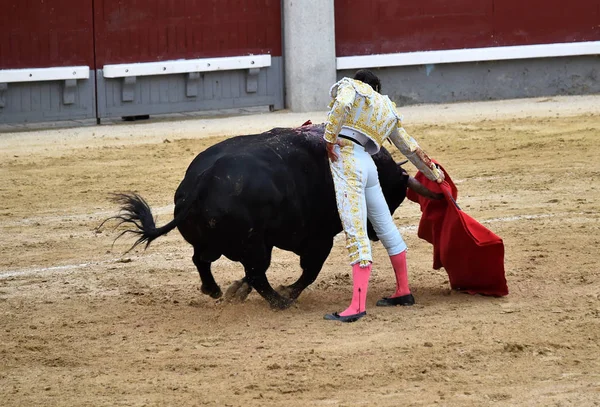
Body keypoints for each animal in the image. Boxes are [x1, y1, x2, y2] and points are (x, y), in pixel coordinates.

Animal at [105, 124, 438, 310]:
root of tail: (202, 181)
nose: (373, 233)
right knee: (256, 272)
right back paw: (279, 302)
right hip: (254, 244)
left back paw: (216, 290)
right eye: (393, 197)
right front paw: (287, 291)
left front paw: (236, 290)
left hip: (220, 242)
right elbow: (310, 270)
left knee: (203, 260)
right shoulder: (318, 238)